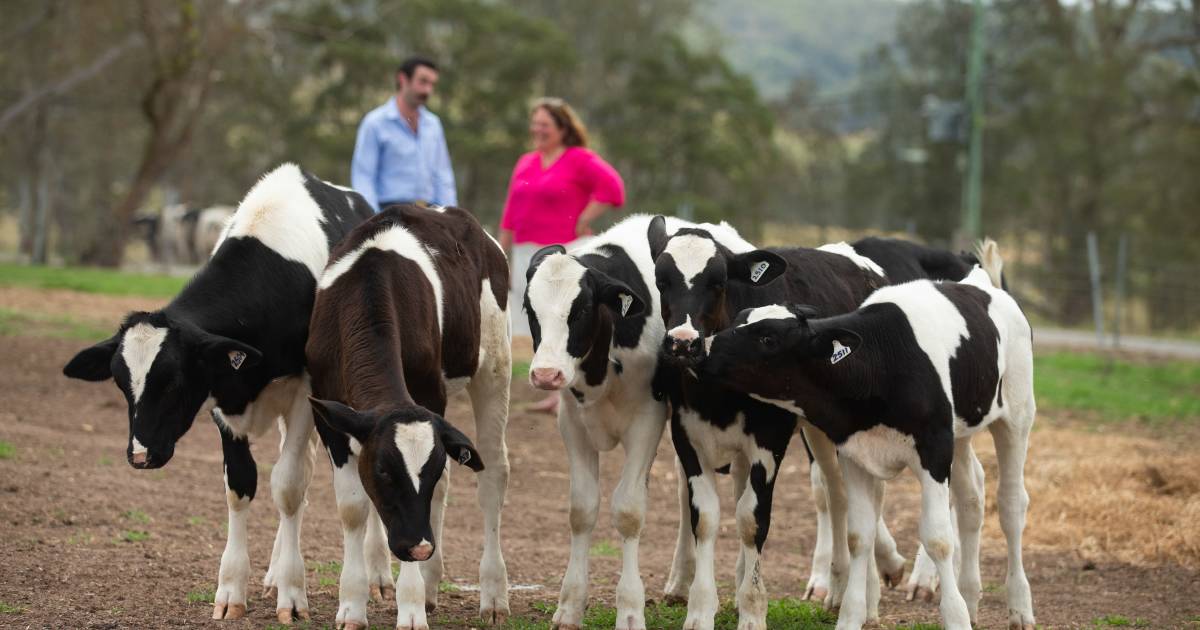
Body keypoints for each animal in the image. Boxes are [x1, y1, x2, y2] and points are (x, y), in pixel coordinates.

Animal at [63, 164, 372, 619]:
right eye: (121, 383)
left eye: (173, 381)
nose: (139, 455)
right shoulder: (222, 399)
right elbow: (240, 485)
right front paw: (232, 590)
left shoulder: (305, 393)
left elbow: (288, 486)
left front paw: (292, 595)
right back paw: (273, 571)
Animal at [304, 204, 511, 624]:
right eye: (384, 470)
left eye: (426, 469)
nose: (417, 548)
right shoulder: (330, 417)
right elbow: (353, 507)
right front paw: (352, 605)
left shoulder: (431, 396)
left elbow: (432, 496)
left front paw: (412, 608)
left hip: (494, 366)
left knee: (492, 475)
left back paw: (492, 593)